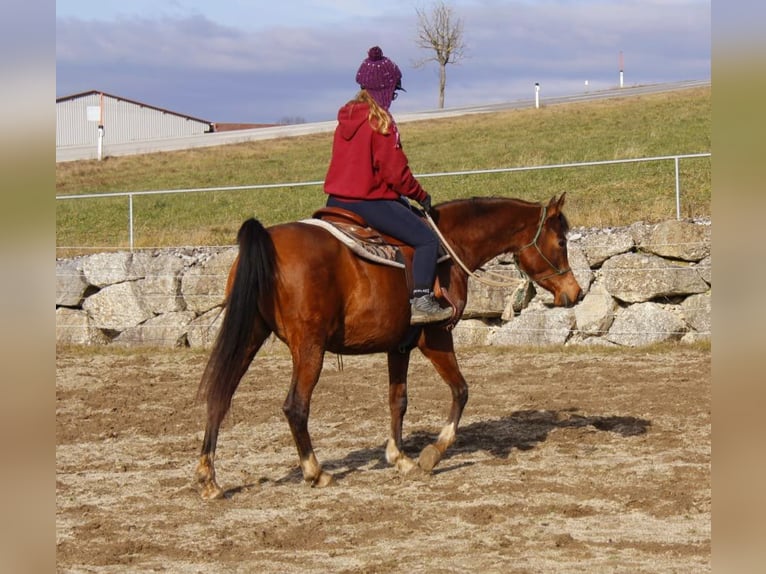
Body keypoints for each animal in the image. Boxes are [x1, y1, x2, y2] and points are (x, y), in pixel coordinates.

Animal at [196, 194, 584, 500]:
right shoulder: (435, 337)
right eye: (561, 242)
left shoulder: (399, 346)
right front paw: (432, 453)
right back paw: (315, 472)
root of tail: (268, 240)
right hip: (309, 349)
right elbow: (461, 390)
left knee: (220, 395)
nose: (576, 293)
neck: (449, 246)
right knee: (295, 407)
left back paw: (209, 478)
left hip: (249, 336)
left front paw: (399, 457)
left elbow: (398, 400)